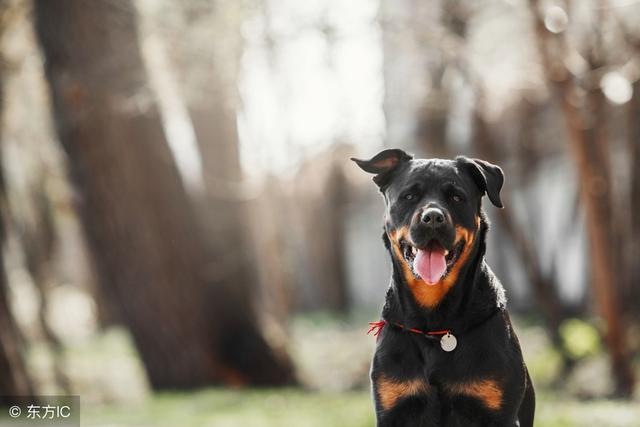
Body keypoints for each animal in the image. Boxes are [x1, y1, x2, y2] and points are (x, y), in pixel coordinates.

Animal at [352, 150, 532, 427]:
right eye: (409, 196)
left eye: (457, 197)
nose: (433, 218)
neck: (435, 326)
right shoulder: (393, 407)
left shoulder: (499, 413)